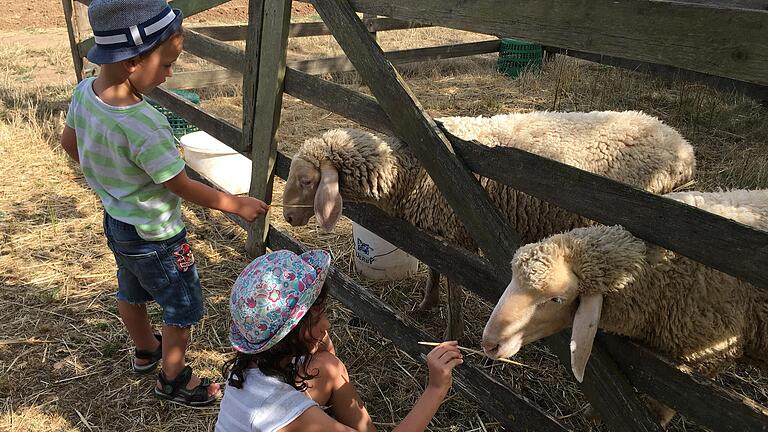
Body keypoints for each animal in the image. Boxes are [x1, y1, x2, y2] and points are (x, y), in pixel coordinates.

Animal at [280, 109, 696, 340]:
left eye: (307, 180)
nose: (286, 217)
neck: (410, 168)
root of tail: (684, 146)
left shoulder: (457, 235)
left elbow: (453, 285)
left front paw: (452, 334)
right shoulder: (435, 232)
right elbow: (433, 272)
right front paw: (424, 306)